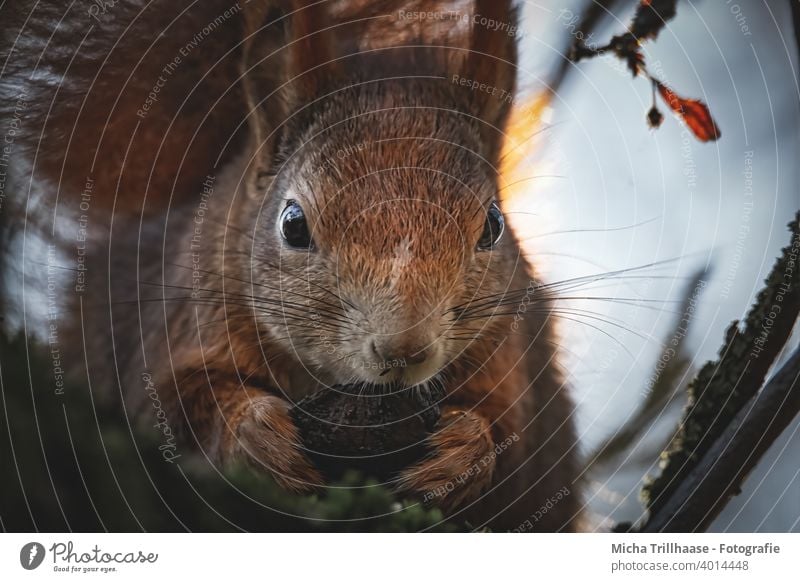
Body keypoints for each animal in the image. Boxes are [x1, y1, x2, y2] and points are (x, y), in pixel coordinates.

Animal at [3, 0, 584, 532]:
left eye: (492, 225)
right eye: (293, 224)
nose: (404, 349)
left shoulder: (509, 355)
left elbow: (512, 442)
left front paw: (465, 449)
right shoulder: (186, 320)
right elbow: (173, 405)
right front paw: (255, 436)